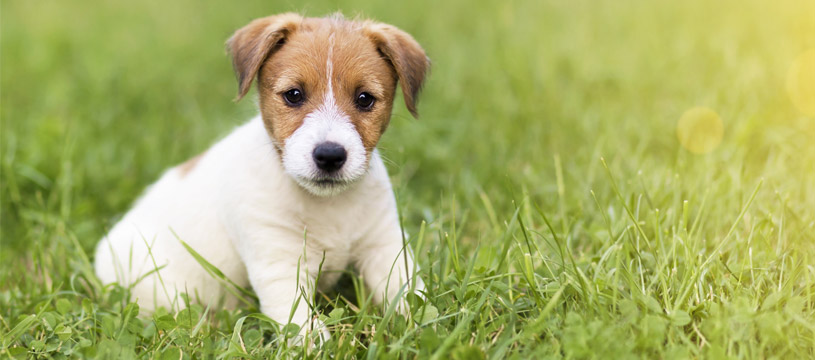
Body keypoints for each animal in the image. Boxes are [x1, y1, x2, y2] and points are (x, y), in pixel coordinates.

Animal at [93, 12, 430, 342]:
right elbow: (301, 325)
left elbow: (410, 293)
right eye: (294, 95)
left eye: (364, 99)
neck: (328, 206)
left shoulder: (386, 247)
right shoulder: (279, 263)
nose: (330, 155)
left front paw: (423, 327)